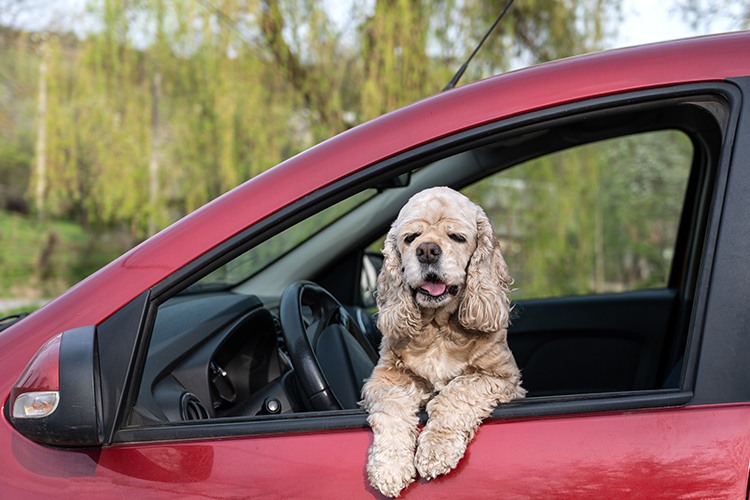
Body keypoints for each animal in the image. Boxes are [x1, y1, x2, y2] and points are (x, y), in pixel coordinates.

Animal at [362, 187, 524, 496]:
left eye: (457, 237)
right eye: (410, 237)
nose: (427, 250)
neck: (438, 327)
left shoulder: (501, 377)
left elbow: (456, 392)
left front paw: (436, 451)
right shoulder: (385, 378)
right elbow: (391, 407)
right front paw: (390, 467)